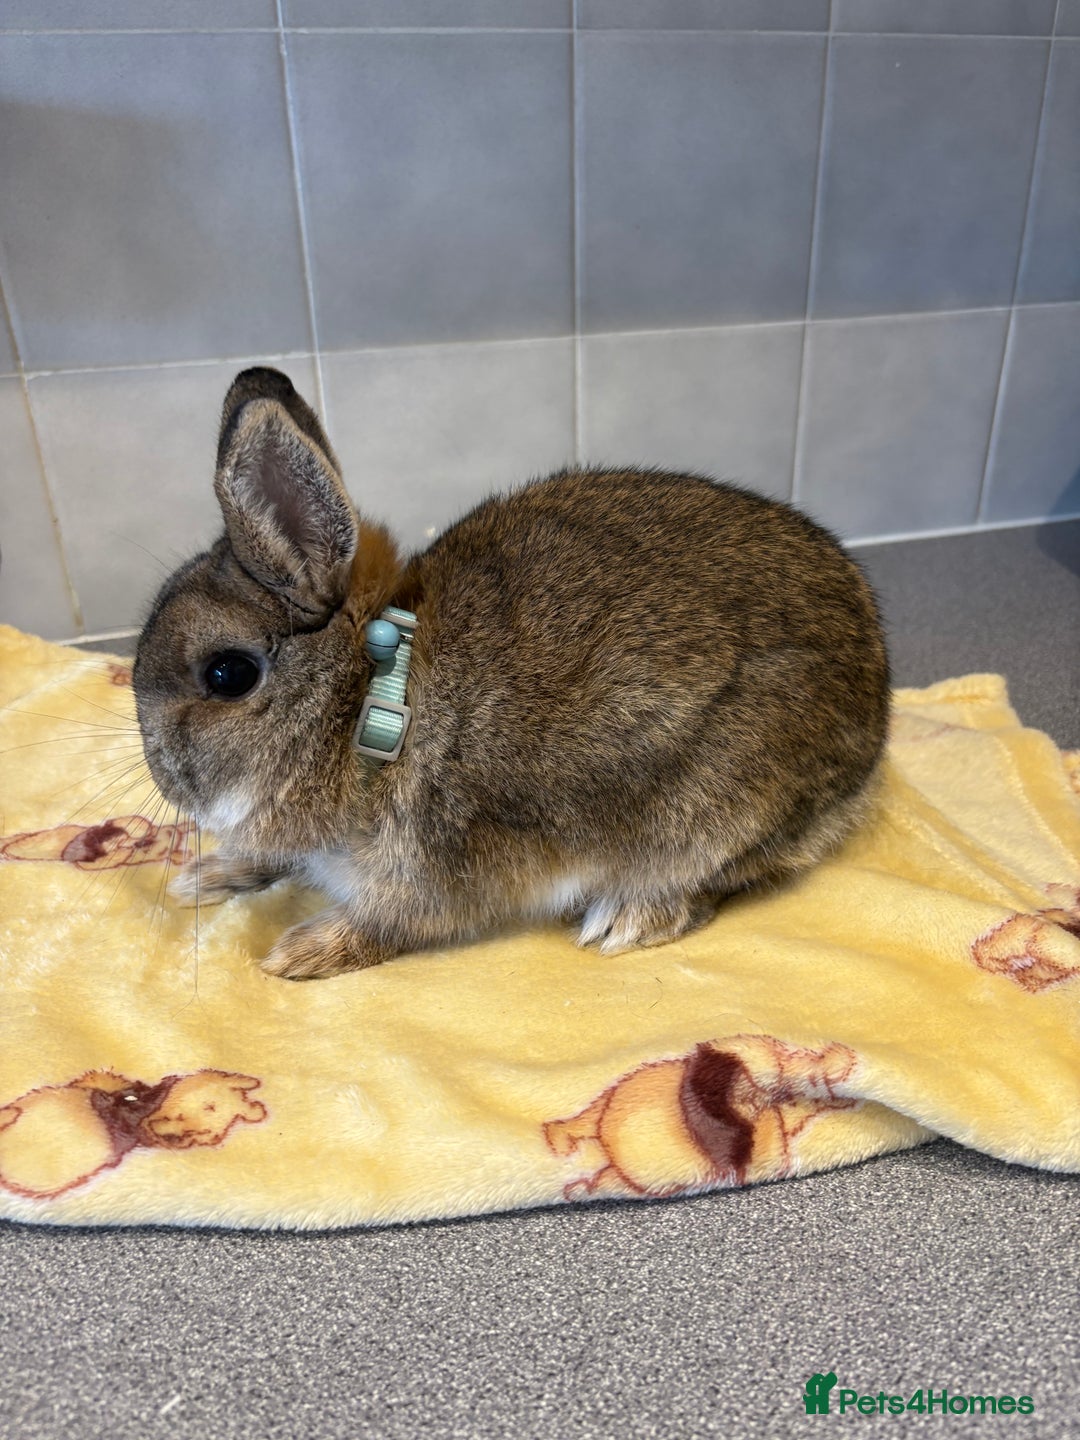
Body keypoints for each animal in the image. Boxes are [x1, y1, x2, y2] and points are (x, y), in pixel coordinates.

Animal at [133, 367, 890, 981]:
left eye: (228, 674)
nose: (164, 776)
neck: (375, 707)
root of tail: (877, 694)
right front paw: (204, 876)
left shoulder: (426, 876)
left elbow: (386, 926)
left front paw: (297, 953)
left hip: (715, 814)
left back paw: (626, 918)